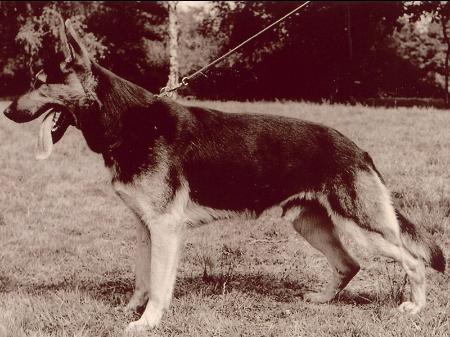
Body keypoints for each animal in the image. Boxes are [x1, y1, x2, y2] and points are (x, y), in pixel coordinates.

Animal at [3, 19, 446, 330]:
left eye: (39, 83)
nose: (7, 111)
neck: (126, 121)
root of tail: (356, 147)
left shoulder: (164, 228)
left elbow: (159, 284)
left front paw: (147, 322)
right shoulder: (144, 229)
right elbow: (142, 279)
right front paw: (130, 311)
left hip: (363, 226)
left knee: (412, 260)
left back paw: (415, 307)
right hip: (309, 224)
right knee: (348, 264)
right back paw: (323, 300)